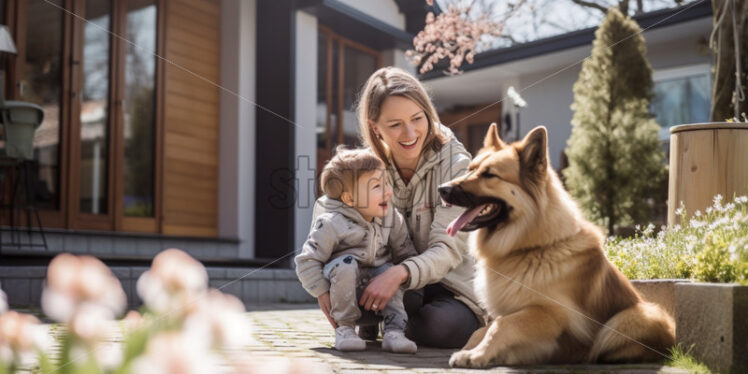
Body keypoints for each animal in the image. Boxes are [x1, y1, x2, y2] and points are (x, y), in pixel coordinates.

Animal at [442, 123, 676, 368]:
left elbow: (501, 325)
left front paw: (476, 355)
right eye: (470, 169)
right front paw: (470, 349)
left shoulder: (551, 314)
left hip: (636, 315)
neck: (531, 248)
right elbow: (481, 330)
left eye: (489, 174)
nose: (442, 189)